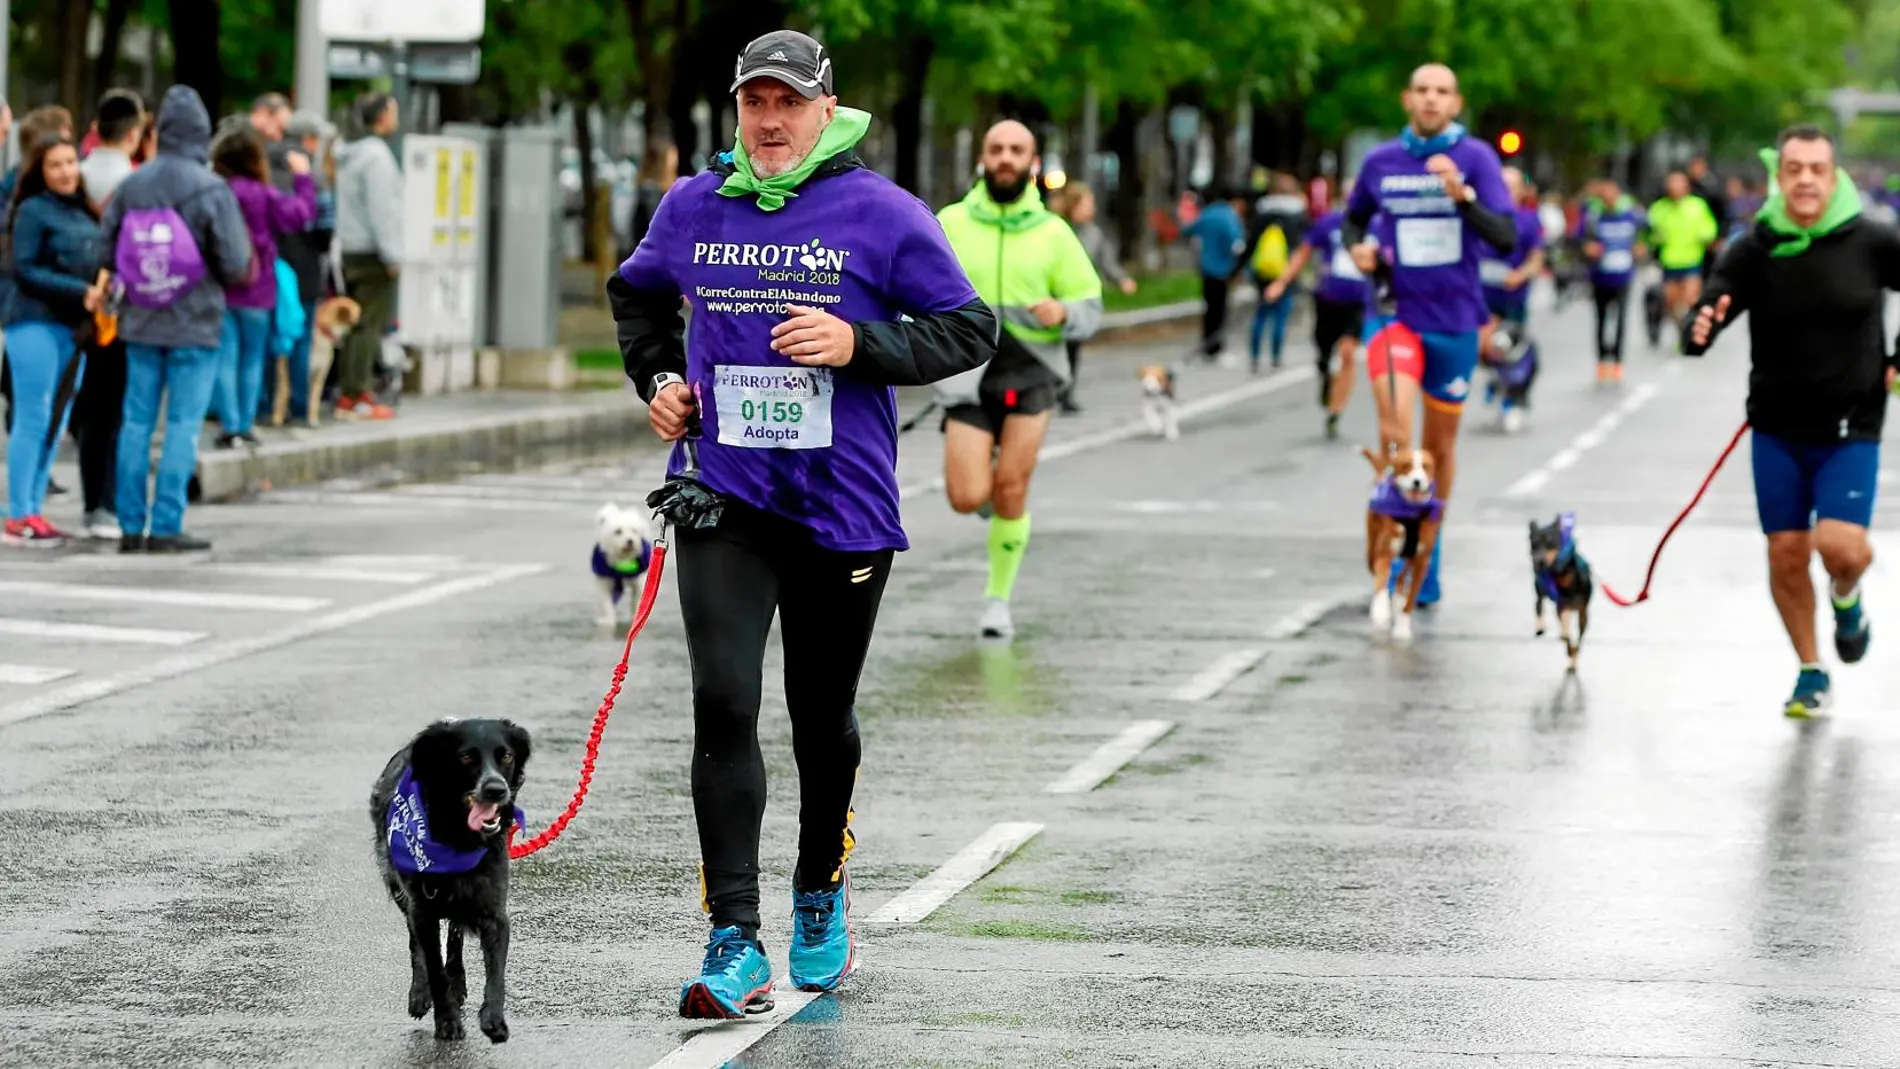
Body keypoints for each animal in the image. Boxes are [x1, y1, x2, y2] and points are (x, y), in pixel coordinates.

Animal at [275, 294, 362, 429]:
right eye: (357, 318)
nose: (365, 324)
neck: (324, 331)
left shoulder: (319, 374)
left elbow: (313, 400)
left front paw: (312, 420)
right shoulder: (290, 370)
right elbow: (285, 392)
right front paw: (277, 418)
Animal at [368, 717, 528, 1048]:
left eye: (506, 756)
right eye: (466, 757)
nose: (496, 789)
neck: (458, 838)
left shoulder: (494, 912)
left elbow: (496, 973)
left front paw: (494, 1019)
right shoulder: (422, 910)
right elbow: (433, 967)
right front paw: (446, 1021)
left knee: (454, 935)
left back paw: (459, 980)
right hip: (399, 889)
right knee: (418, 946)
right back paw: (420, 994)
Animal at [1360, 446, 1444, 645]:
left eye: (1425, 466)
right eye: (1406, 466)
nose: (1417, 481)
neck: (1410, 512)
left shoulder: (1421, 562)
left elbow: (1410, 600)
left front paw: (1402, 629)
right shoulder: (1384, 554)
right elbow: (1381, 583)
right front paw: (1381, 611)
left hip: (1409, 557)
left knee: (1401, 578)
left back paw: (1398, 600)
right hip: (1371, 551)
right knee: (1383, 574)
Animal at [1527, 512, 1588, 672]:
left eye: (1550, 543)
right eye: (1533, 545)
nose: (1538, 562)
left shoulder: (1583, 614)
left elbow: (1578, 642)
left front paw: (1573, 657)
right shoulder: (1560, 606)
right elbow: (1566, 636)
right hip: (1542, 594)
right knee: (1539, 606)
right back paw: (1541, 626)